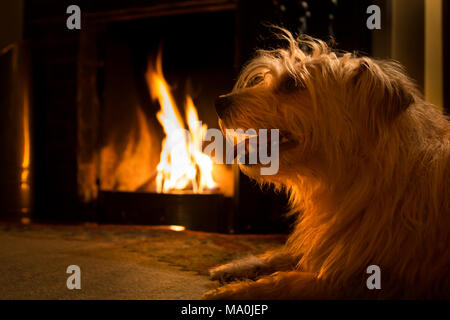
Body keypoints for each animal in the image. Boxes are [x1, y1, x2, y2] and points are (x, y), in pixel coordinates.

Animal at [205, 28, 450, 298]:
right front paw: (237, 266)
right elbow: (284, 254)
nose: (219, 102)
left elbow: (283, 282)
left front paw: (235, 291)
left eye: (292, 83)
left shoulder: (351, 281)